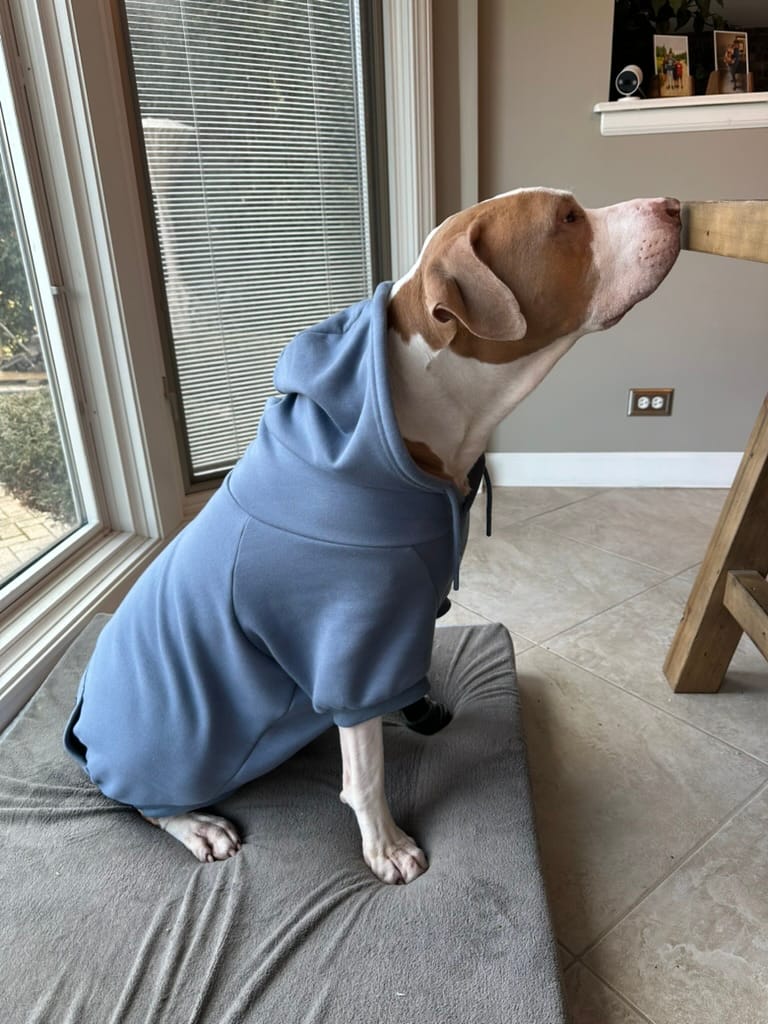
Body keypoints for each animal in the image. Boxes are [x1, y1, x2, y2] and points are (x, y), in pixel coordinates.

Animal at [64, 188, 679, 884]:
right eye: (568, 219)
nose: (674, 204)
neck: (422, 416)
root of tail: (85, 737)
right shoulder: (354, 638)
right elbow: (364, 774)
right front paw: (385, 847)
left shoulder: (410, 611)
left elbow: (407, 686)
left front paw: (414, 712)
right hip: (178, 747)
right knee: (141, 803)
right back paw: (195, 826)